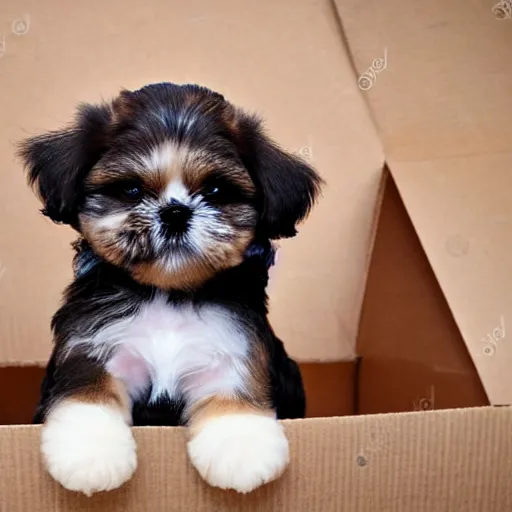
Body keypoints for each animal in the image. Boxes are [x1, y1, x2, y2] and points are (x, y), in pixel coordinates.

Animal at [22, 83, 322, 496]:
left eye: (215, 190)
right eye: (131, 189)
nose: (176, 212)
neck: (166, 295)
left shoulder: (233, 346)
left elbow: (235, 387)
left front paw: (242, 449)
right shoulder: (93, 345)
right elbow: (89, 387)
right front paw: (91, 456)